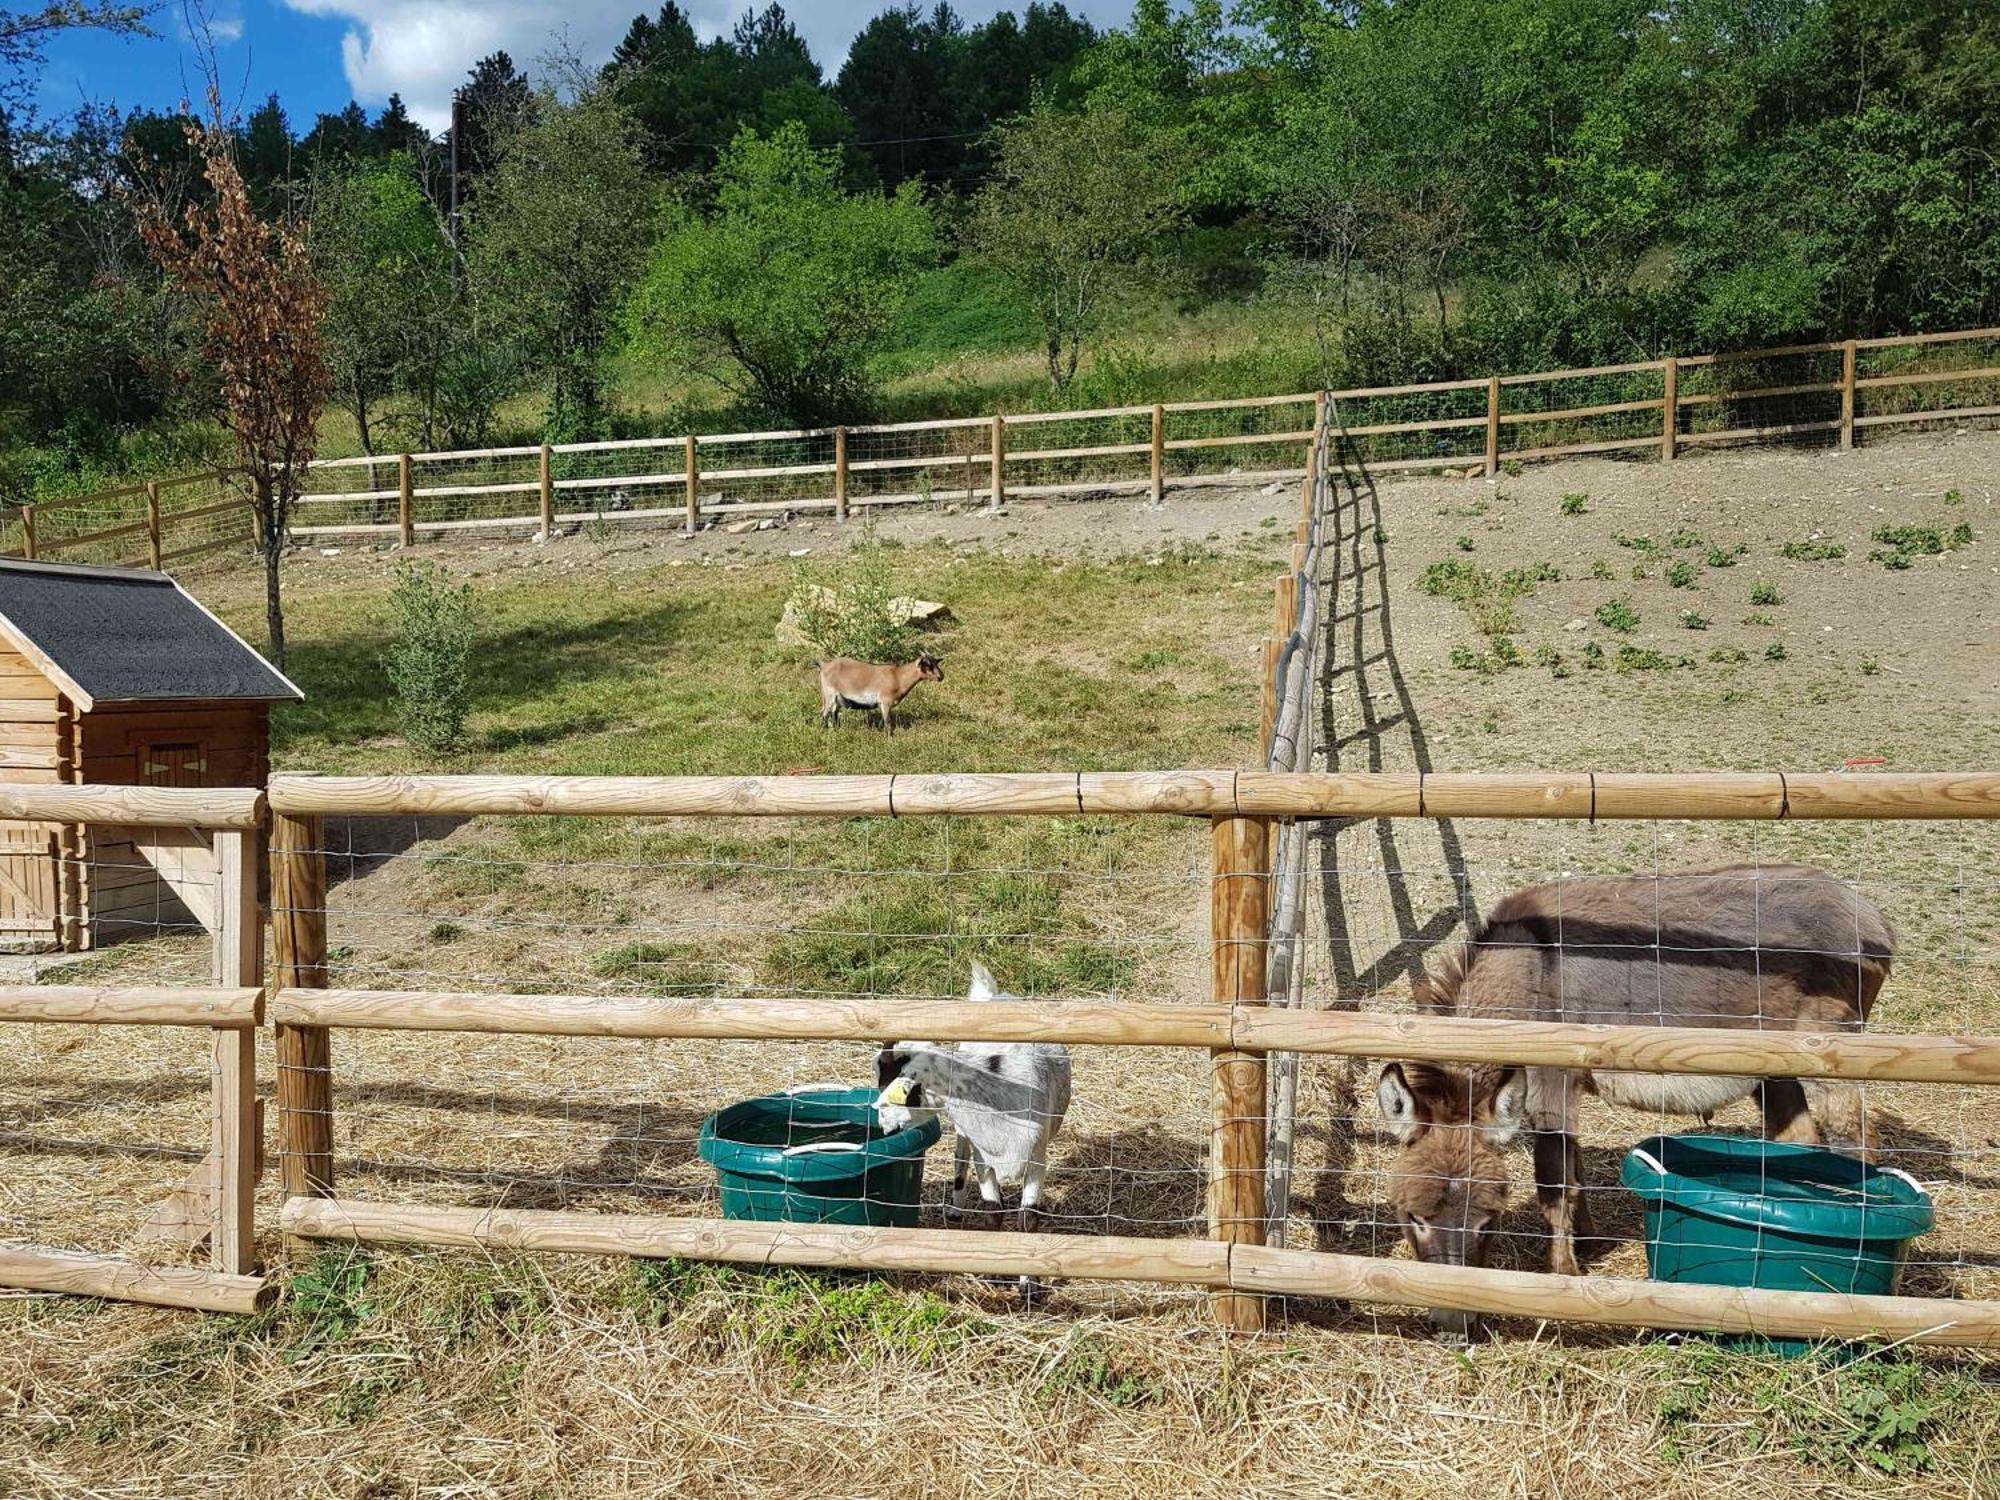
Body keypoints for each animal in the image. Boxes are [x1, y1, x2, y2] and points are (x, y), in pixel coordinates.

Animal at [872, 964, 1072, 1232]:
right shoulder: (983, 1158)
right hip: (964, 1134)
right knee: (960, 1159)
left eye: (888, 1094)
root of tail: (994, 996)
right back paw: (955, 1210)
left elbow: (1028, 1219)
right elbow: (993, 1212)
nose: (884, 1128)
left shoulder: (1037, 1158)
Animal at [1376, 864, 1888, 1344]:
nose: (1453, 1325)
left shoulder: (1549, 1083)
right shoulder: (1567, 1084)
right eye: (1411, 1217)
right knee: (1799, 1139)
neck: (1522, 973)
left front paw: (1562, 1276)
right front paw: (1587, 1240)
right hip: (1774, 1066)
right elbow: (1574, 1169)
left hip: (1828, 1052)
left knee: (1857, 1144)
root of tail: (1862, 908)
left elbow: (1553, 1183)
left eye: (1488, 1220)